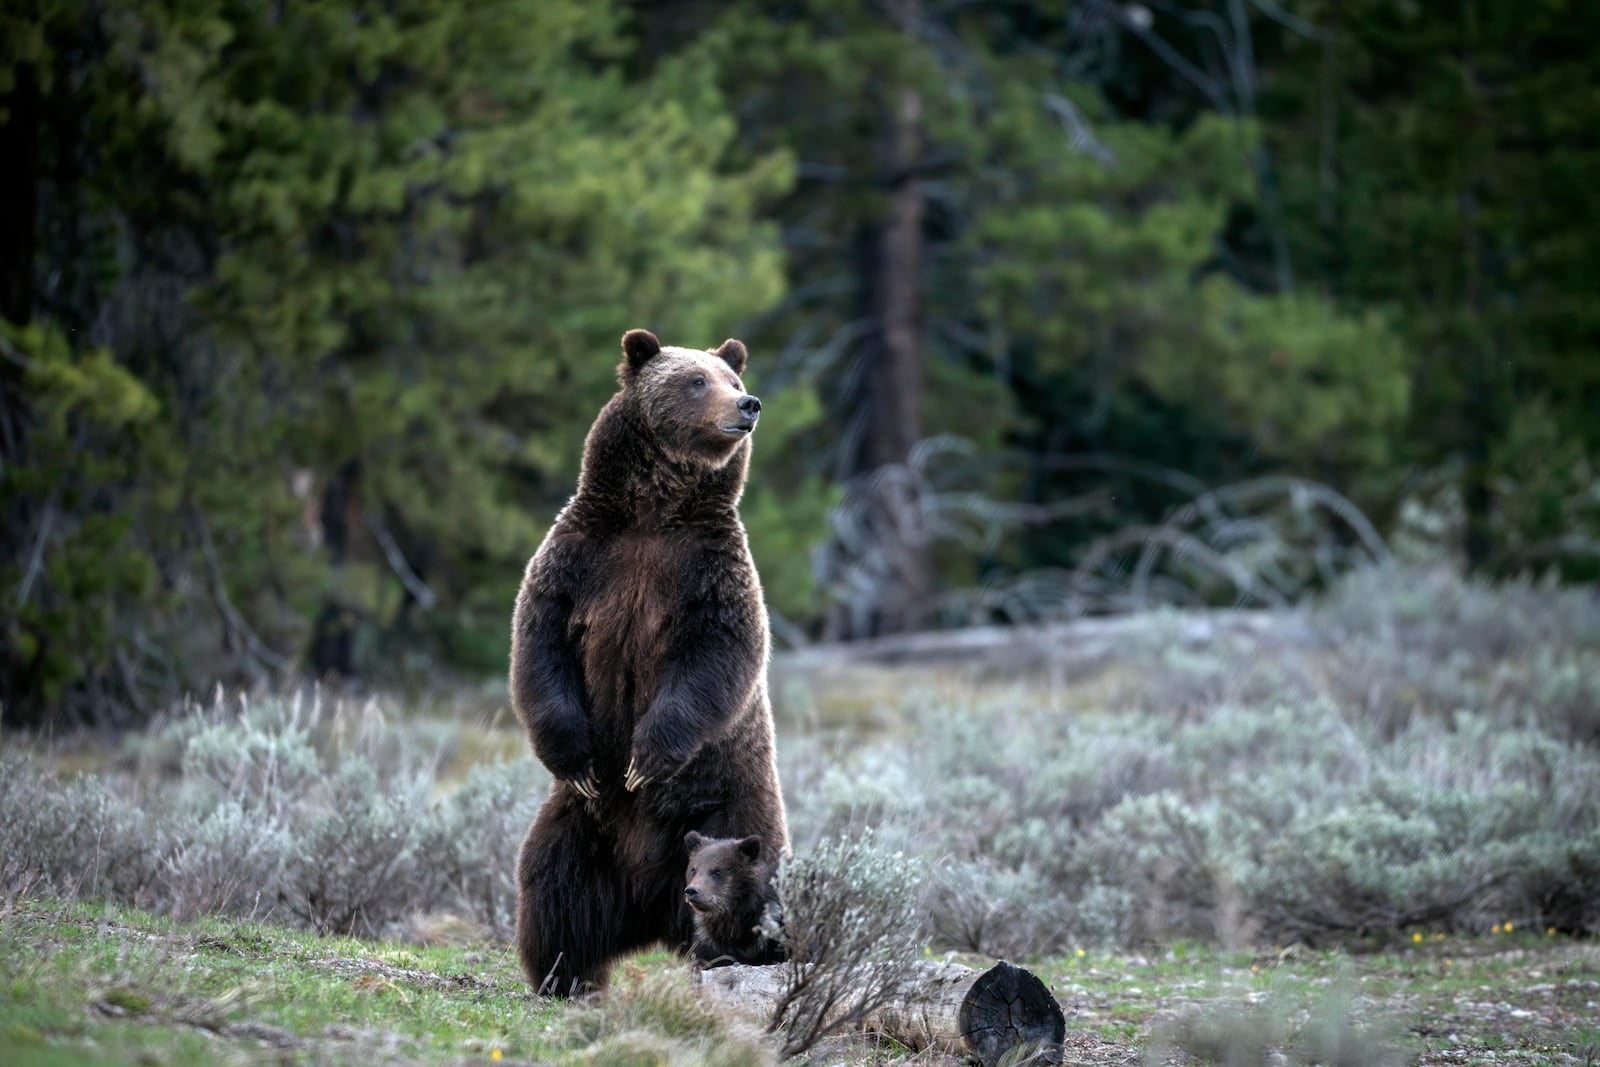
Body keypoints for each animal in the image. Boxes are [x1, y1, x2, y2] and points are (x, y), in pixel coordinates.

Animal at [512, 329, 787, 998]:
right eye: (696, 380)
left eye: (733, 380)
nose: (749, 406)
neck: (653, 513)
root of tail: (650, 907)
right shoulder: (581, 559)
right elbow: (540, 646)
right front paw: (579, 758)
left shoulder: (709, 573)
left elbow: (716, 658)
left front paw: (646, 759)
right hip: (583, 828)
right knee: (553, 887)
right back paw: (563, 975)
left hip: (730, 809)